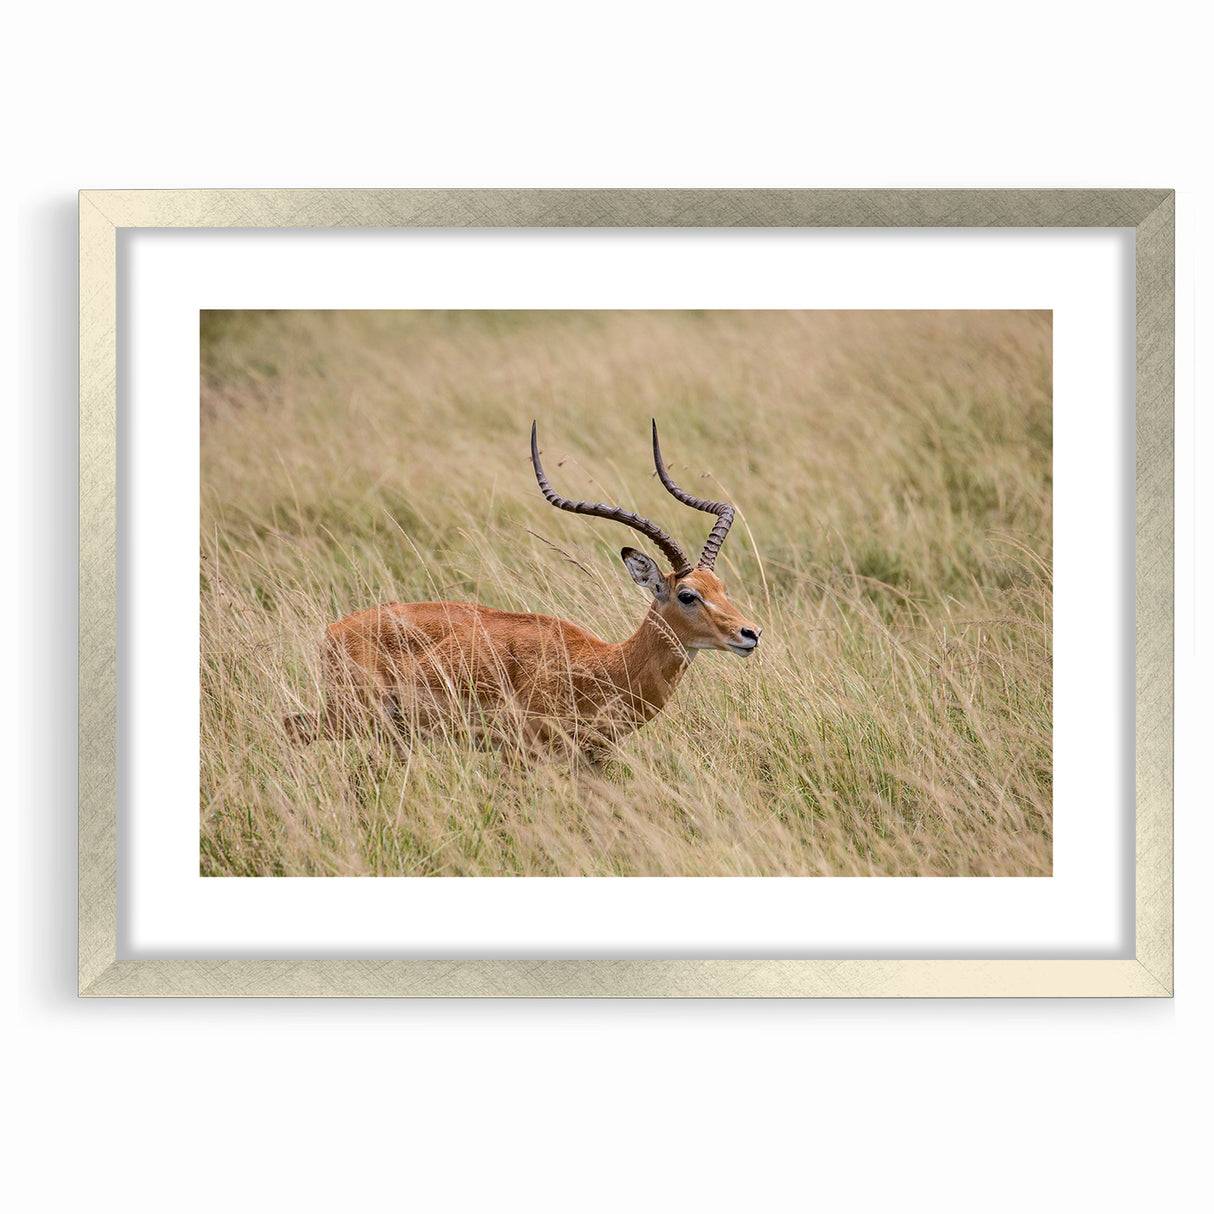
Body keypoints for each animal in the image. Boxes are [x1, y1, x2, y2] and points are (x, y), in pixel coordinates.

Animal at [284, 421, 762, 761]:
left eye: (721, 586)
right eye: (687, 595)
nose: (750, 634)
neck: (604, 666)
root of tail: (335, 629)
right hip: (354, 715)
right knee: (292, 728)